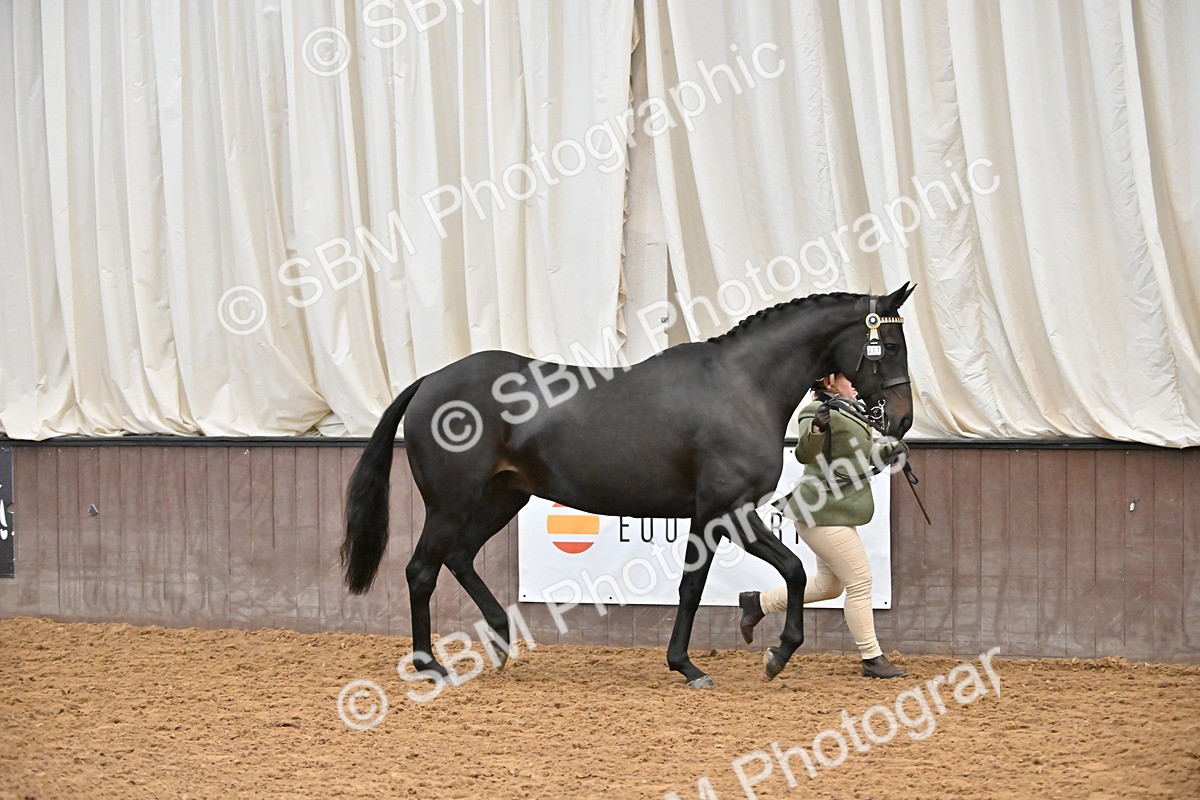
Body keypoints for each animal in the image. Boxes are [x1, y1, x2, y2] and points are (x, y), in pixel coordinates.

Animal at [341, 284, 915, 687]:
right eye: (887, 344)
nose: (903, 419)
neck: (741, 388)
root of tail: (429, 382)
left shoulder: (713, 515)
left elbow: (705, 585)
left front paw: (700, 661)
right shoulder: (726, 510)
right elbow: (779, 571)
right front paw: (761, 656)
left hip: (503, 497)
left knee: (459, 557)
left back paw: (501, 640)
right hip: (451, 502)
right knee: (422, 570)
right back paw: (430, 665)